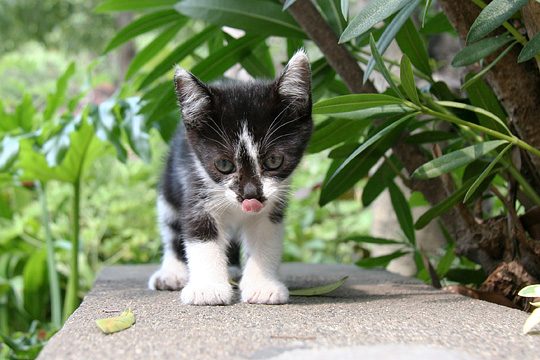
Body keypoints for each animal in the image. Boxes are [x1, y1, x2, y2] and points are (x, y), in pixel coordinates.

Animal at [148, 50, 312, 304]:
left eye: (274, 161)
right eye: (224, 165)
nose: (251, 194)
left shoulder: (273, 203)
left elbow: (265, 235)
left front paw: (262, 284)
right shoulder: (195, 181)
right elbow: (200, 232)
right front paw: (207, 288)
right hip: (169, 184)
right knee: (171, 227)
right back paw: (172, 271)